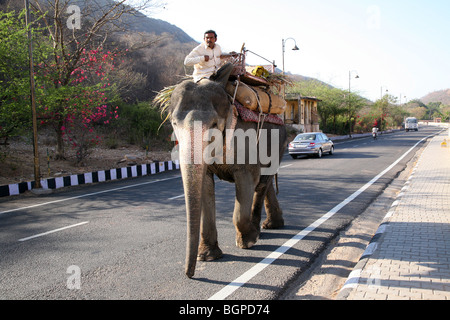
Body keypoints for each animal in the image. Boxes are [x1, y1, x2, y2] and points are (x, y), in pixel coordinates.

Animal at [165, 75, 288, 278]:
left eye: (214, 125)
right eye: (174, 124)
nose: (189, 274)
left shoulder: (245, 144)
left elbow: (248, 179)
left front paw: (247, 242)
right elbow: (206, 185)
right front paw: (208, 257)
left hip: (279, 144)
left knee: (262, 182)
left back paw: (258, 230)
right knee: (266, 183)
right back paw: (271, 226)